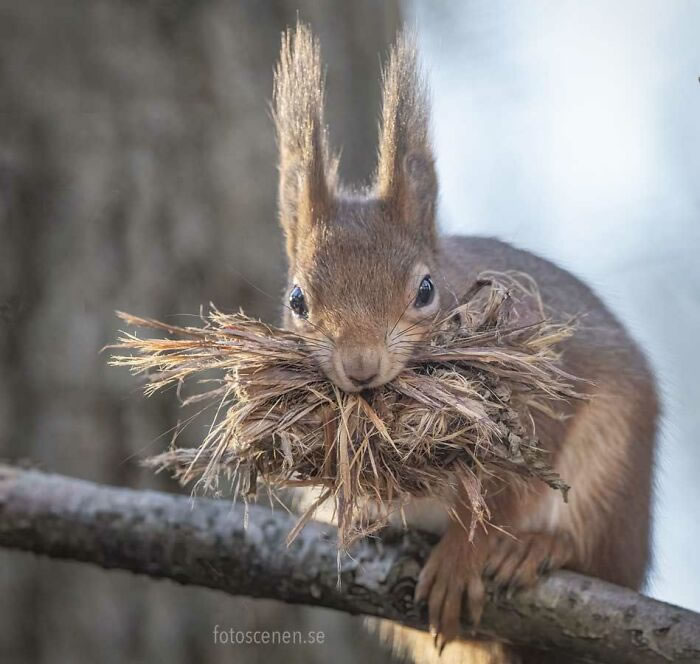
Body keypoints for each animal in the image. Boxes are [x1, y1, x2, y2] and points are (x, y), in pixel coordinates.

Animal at [272, 23, 656, 660]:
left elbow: (504, 489)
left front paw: (463, 551)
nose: (360, 365)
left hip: (613, 470)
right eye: (297, 300)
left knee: (596, 552)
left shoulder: (536, 397)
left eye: (426, 289)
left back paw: (540, 547)